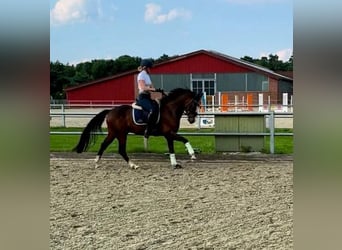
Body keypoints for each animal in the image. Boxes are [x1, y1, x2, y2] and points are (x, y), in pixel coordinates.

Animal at [73, 87, 203, 168]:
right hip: (120, 133)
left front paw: (175, 164)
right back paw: (133, 165)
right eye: (193, 104)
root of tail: (110, 111)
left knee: (105, 145)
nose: (192, 120)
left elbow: (172, 148)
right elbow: (185, 140)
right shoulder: (169, 133)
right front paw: (192, 155)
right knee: (120, 149)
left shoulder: (169, 135)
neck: (170, 110)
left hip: (114, 133)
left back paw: (97, 162)